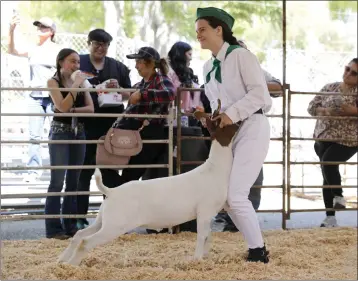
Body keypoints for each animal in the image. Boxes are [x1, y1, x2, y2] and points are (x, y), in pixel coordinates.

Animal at [58, 106, 242, 264]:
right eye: (227, 123)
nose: (240, 122)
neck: (215, 169)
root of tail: (111, 192)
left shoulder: (209, 214)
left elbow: (208, 237)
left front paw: (205, 257)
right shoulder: (204, 211)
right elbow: (202, 236)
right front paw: (196, 259)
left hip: (103, 221)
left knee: (79, 234)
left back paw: (62, 261)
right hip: (115, 226)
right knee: (85, 241)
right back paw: (72, 264)